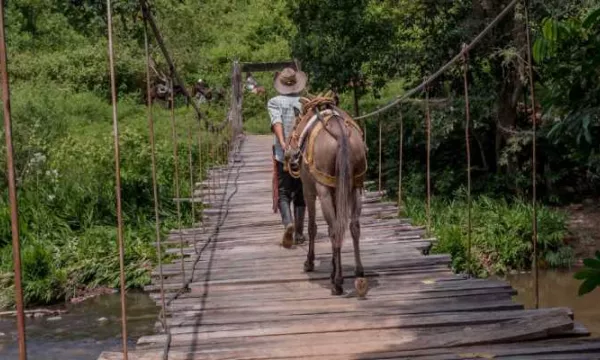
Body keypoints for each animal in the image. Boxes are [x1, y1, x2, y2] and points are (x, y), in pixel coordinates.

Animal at [284, 94, 368, 296]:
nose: (290, 154)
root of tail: (341, 134)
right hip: (354, 186)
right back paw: (358, 271)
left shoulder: (309, 189)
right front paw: (333, 266)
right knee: (352, 226)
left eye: (294, 126)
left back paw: (337, 282)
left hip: (322, 190)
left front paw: (310, 262)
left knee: (335, 229)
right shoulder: (338, 188)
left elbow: (312, 227)